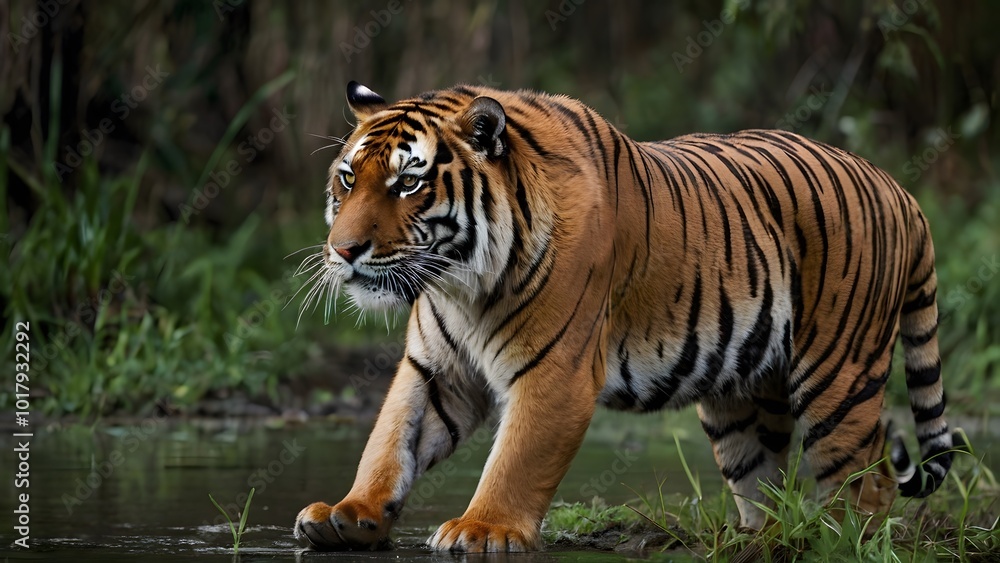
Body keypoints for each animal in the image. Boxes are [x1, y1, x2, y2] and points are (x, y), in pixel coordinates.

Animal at [293, 81, 953, 552]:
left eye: (408, 184)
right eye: (348, 178)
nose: (343, 251)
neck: (462, 283)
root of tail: (900, 191)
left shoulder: (555, 374)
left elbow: (515, 460)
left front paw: (482, 529)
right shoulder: (434, 368)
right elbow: (389, 441)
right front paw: (348, 514)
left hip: (838, 376)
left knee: (866, 481)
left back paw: (834, 539)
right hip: (740, 401)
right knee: (763, 479)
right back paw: (759, 539)